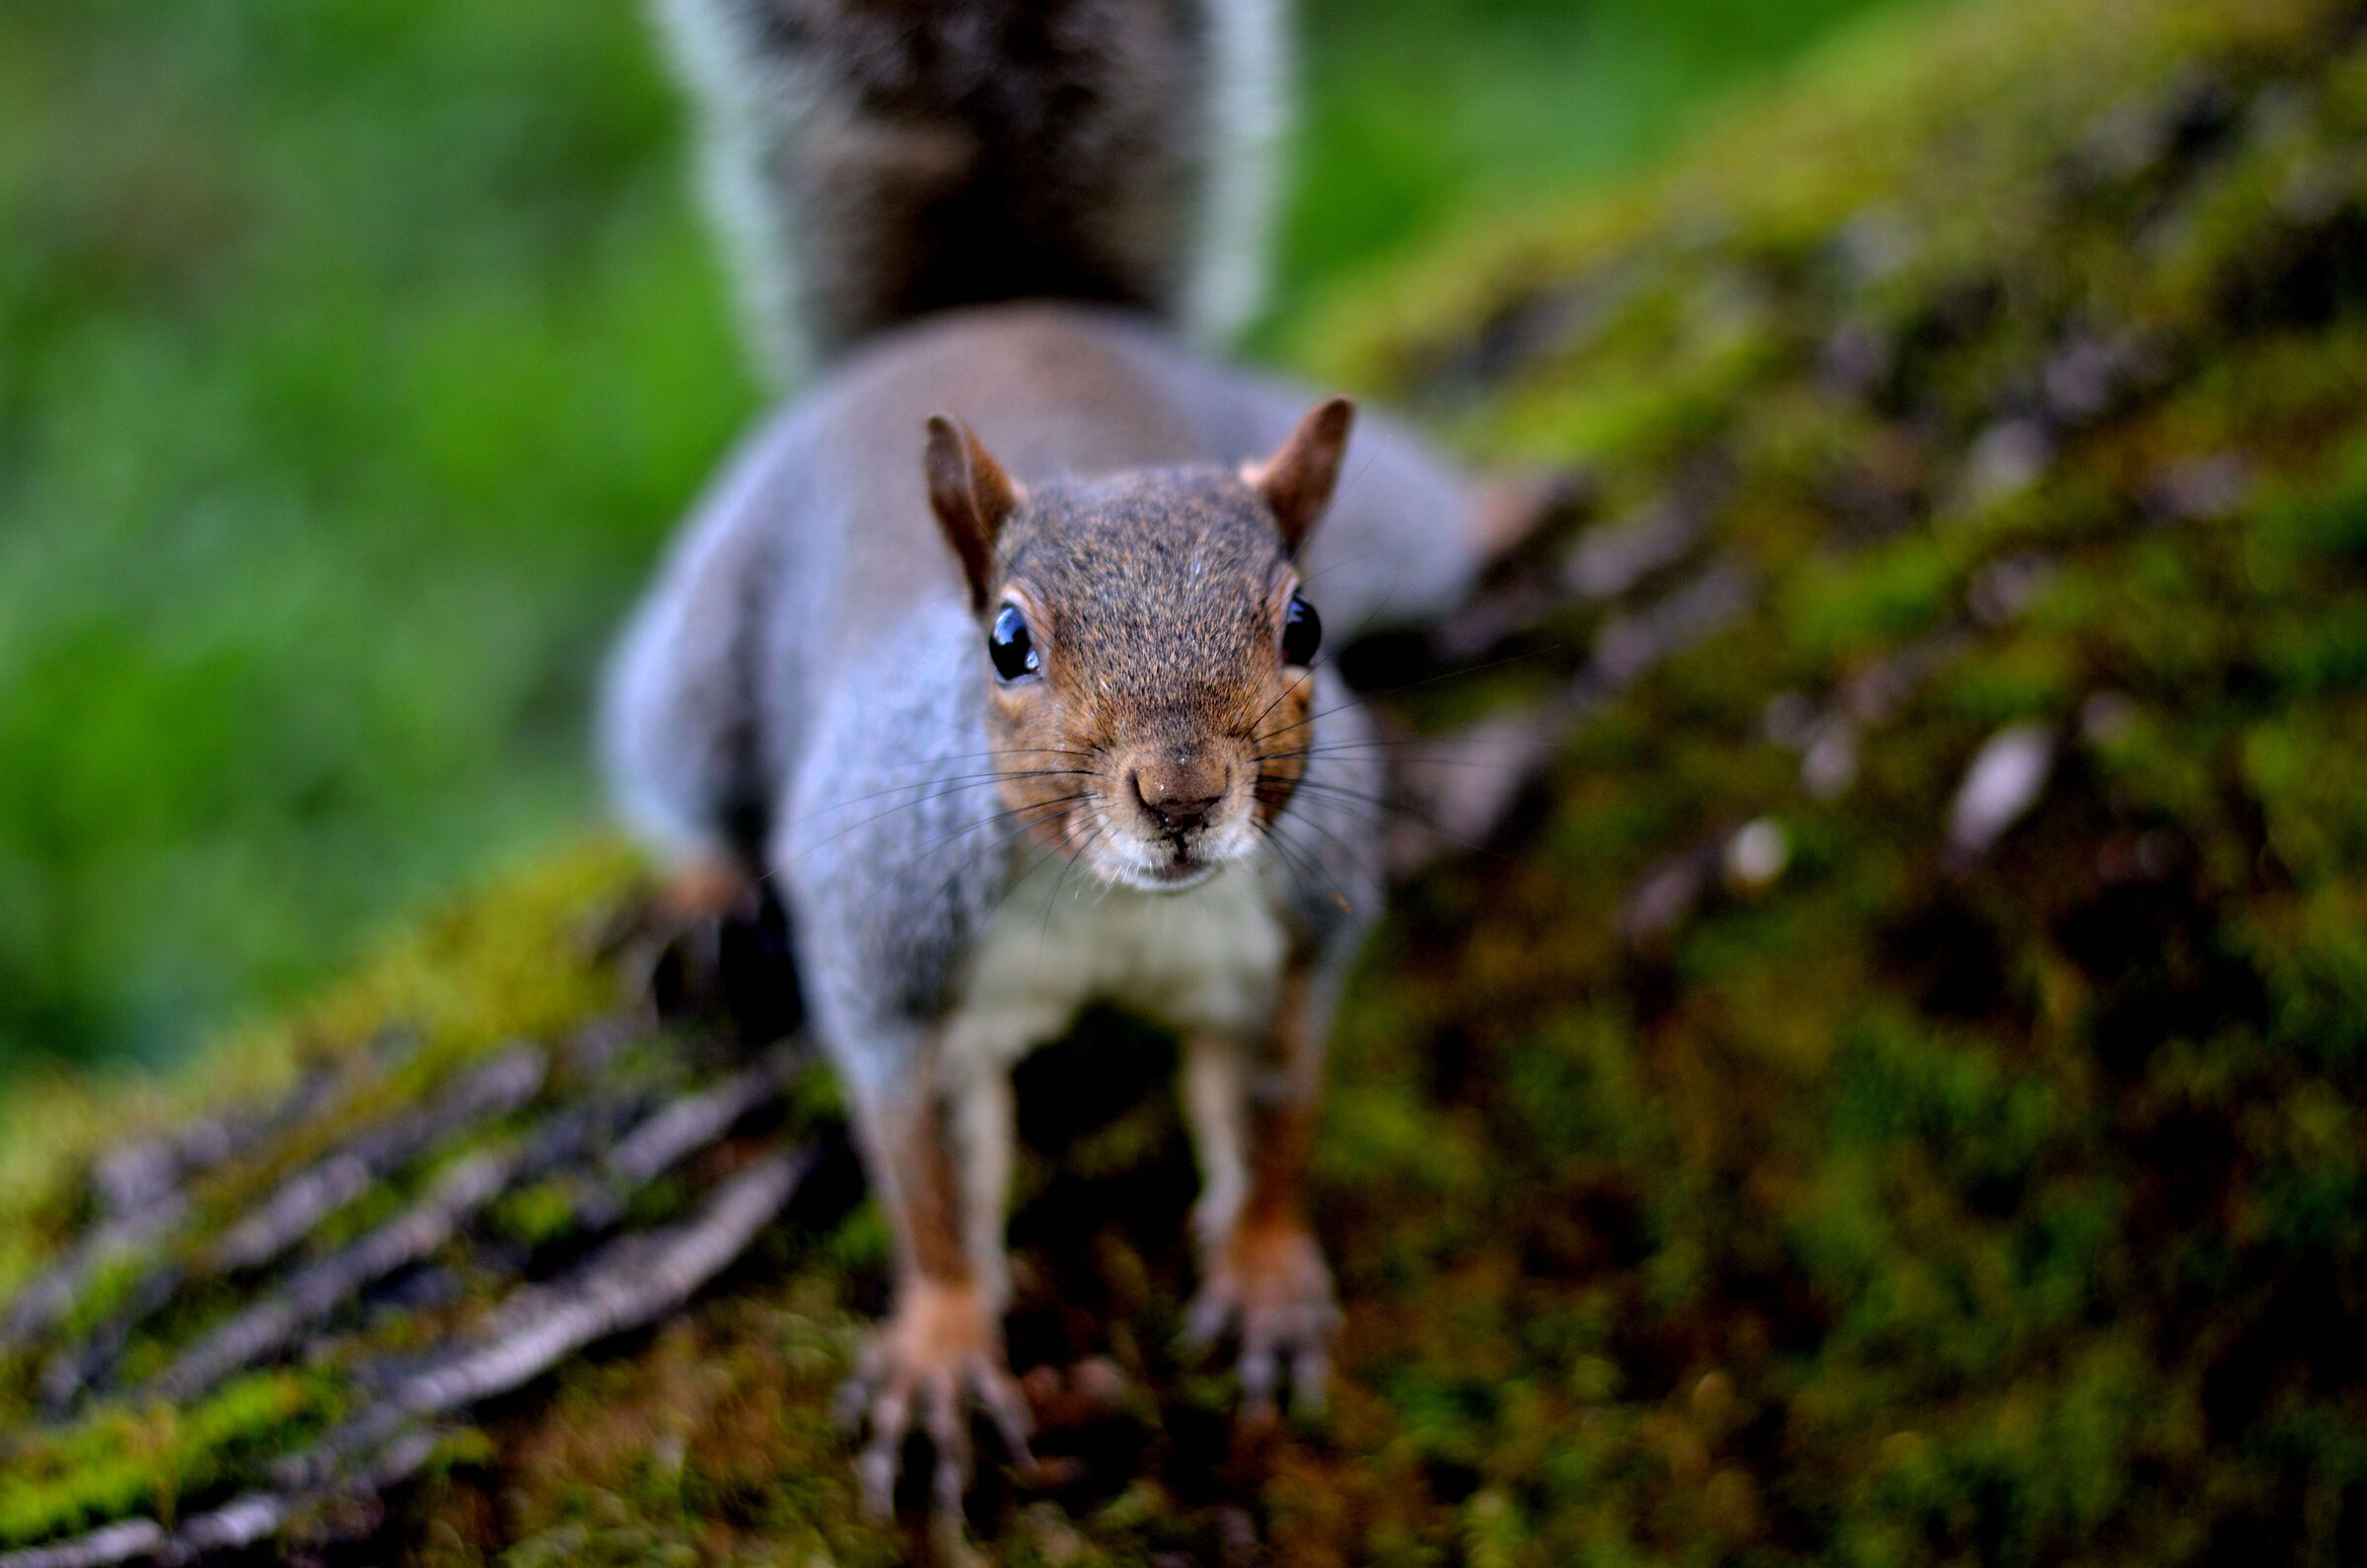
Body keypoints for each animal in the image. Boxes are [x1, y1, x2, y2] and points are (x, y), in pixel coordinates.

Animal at [605, 0, 1534, 1520]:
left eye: (1304, 624)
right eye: (1005, 642)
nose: (1183, 795)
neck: (1108, 904)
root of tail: (1000, 311)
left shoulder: (1288, 944)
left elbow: (1275, 1121)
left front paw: (1266, 1276)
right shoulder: (892, 955)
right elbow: (924, 1183)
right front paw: (938, 1352)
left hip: (1377, 510)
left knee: (1431, 517)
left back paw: (1510, 505)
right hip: (700, 665)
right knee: (684, 771)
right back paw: (702, 889)